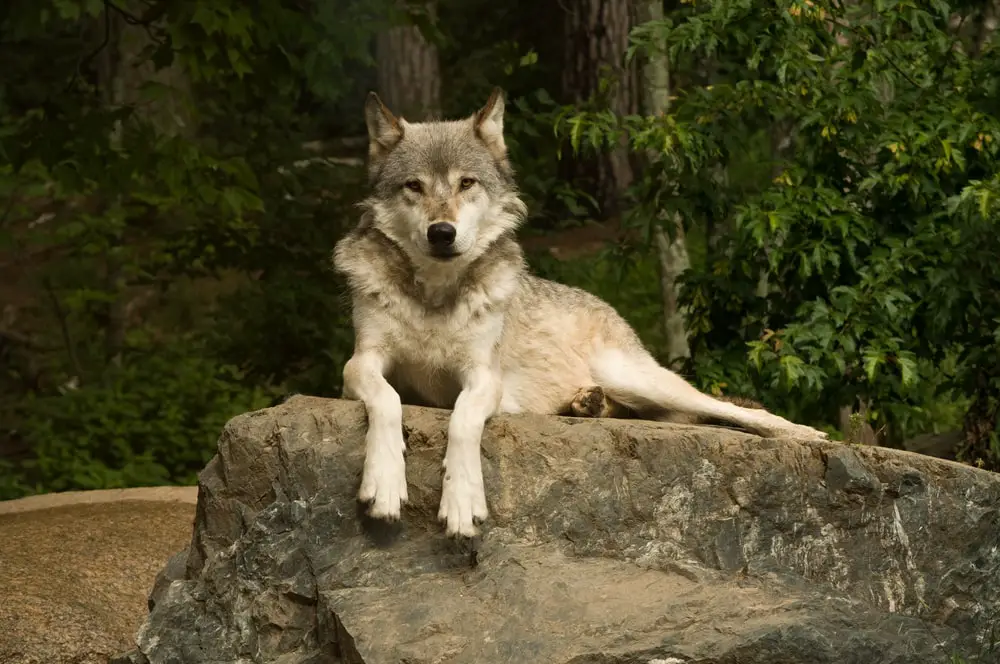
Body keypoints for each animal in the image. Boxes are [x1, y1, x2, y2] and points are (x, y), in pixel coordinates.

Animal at [332, 87, 824, 540]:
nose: (441, 233)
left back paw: (804, 434)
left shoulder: (483, 377)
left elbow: (463, 418)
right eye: (413, 186)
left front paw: (461, 500)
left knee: (729, 410)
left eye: (466, 183)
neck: (434, 297)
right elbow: (388, 400)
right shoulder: (360, 363)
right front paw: (385, 483)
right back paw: (590, 404)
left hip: (637, 377)